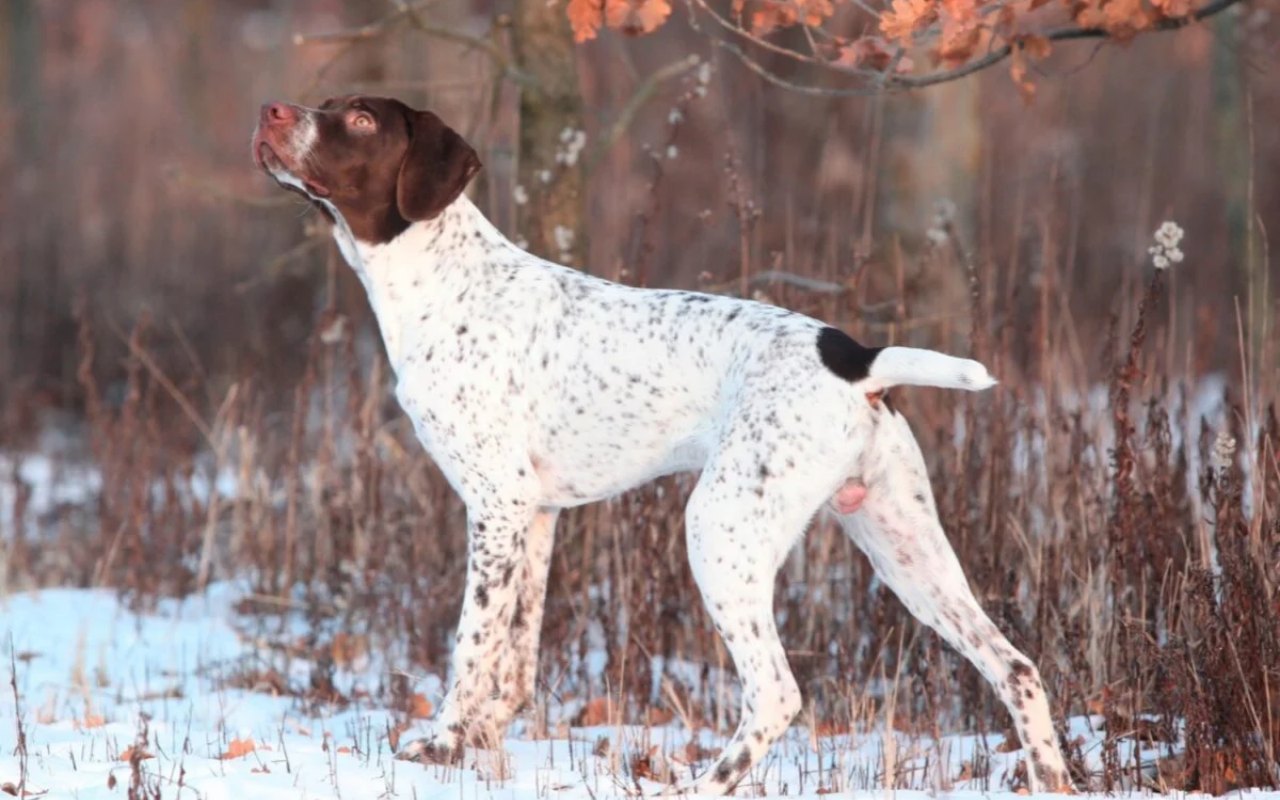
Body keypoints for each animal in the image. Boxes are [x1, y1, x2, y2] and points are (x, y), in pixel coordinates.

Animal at [249, 95, 1070, 793]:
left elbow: (472, 648)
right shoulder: (533, 517)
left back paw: (703, 783)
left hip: (722, 531)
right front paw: (482, 747)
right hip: (906, 549)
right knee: (1016, 667)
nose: (271, 112)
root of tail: (856, 357)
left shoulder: (495, 506)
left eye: (360, 119)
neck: (443, 282)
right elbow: (514, 661)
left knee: (775, 694)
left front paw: (443, 746)